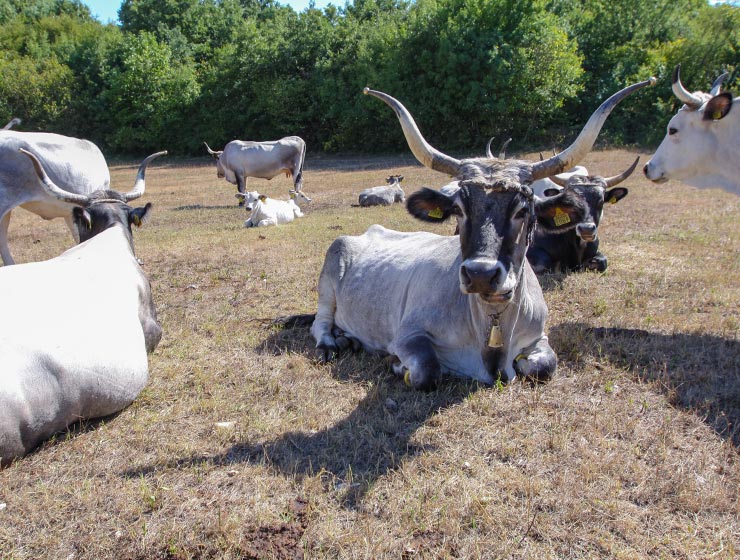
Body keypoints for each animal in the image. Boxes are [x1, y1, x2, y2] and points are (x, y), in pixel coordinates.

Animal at [308, 78, 653, 390]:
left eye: (522, 209)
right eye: (459, 209)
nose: (480, 274)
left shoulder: (540, 335)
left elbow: (544, 366)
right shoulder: (409, 334)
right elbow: (427, 371)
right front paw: (396, 364)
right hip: (328, 278)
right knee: (320, 323)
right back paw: (334, 342)